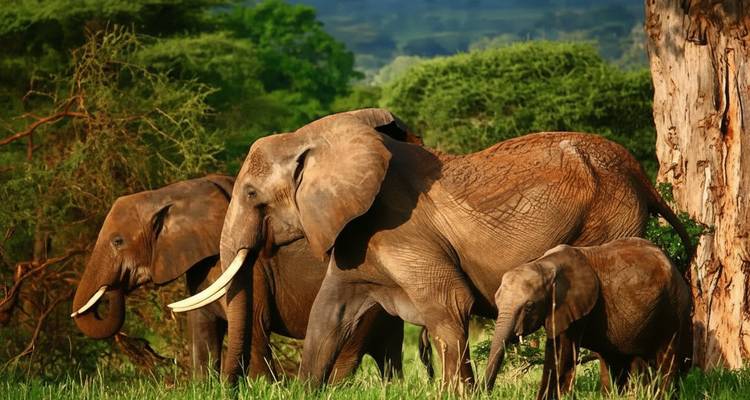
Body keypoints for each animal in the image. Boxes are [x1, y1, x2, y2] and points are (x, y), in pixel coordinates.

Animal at [70, 173, 430, 382]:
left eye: (118, 241)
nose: (113, 288)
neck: (171, 193)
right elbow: (202, 332)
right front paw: (205, 385)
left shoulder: (251, 268)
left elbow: (254, 323)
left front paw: (259, 386)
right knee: (388, 353)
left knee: (350, 347)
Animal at [483, 238, 692, 399]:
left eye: (529, 307)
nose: (485, 392)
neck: (545, 264)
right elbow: (555, 351)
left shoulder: (575, 306)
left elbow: (562, 355)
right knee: (616, 362)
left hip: (675, 310)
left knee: (667, 362)